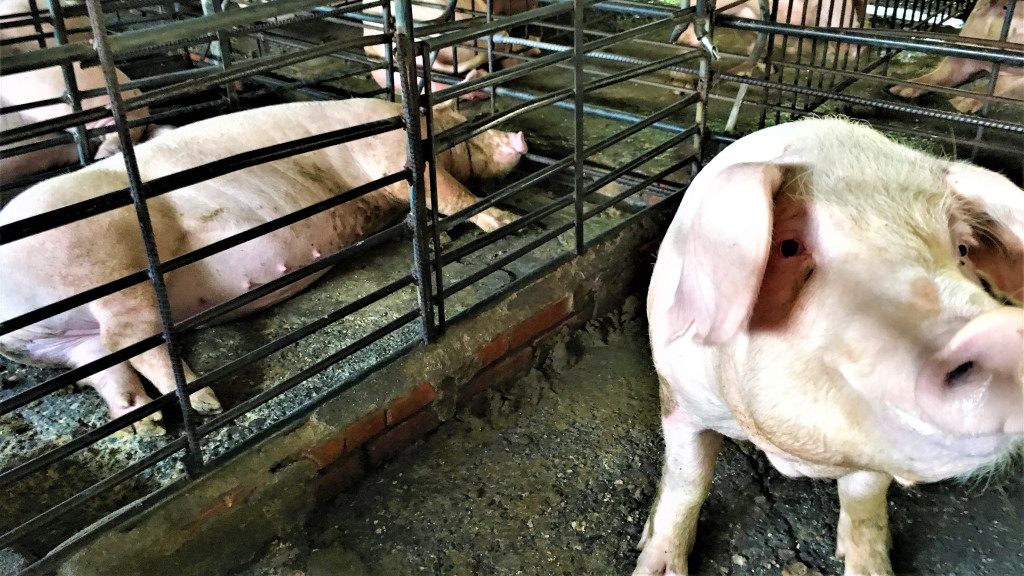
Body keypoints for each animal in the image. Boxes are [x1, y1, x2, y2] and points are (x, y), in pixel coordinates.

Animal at [0, 98, 528, 432]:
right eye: (463, 122)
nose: (519, 136)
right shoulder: (386, 154)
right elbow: (450, 192)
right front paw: (508, 220)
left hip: (61, 344)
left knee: (103, 364)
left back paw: (145, 424)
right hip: (109, 269)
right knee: (130, 340)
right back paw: (207, 404)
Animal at [634, 117, 1019, 573]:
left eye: (961, 248)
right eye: (788, 246)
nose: (1004, 330)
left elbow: (863, 498)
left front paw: (870, 567)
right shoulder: (679, 394)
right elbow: (688, 480)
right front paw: (652, 566)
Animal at [888, 0, 1024, 113]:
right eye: (1005, 8)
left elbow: (1000, 85)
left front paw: (959, 105)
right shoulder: (963, 52)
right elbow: (941, 75)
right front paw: (898, 91)